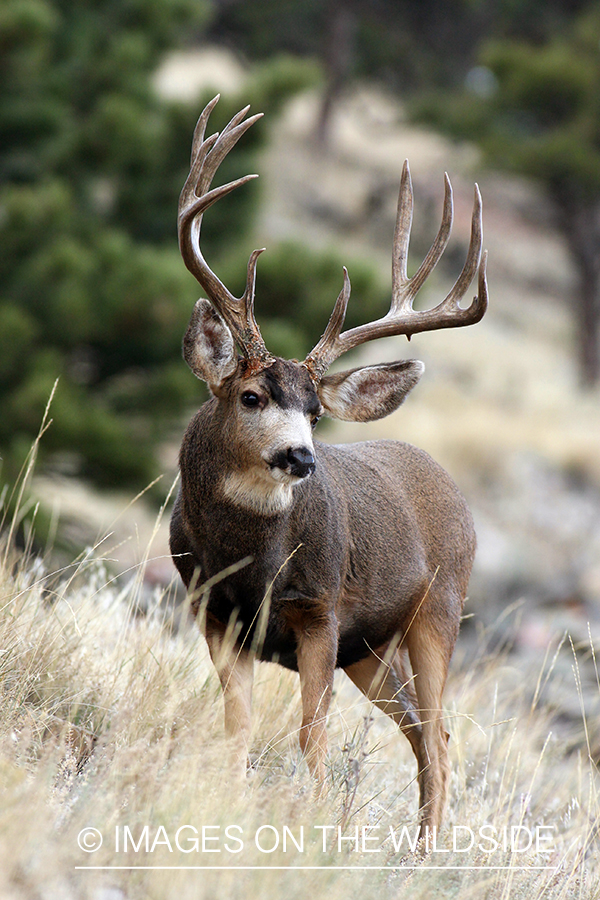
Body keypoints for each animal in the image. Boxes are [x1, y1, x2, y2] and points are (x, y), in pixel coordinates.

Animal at [169, 96, 488, 837]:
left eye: (316, 412)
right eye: (251, 396)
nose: (300, 456)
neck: (249, 562)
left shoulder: (320, 613)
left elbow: (311, 735)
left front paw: (311, 824)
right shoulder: (212, 608)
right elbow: (238, 724)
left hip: (438, 610)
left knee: (438, 737)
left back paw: (428, 851)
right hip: (370, 653)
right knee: (426, 734)